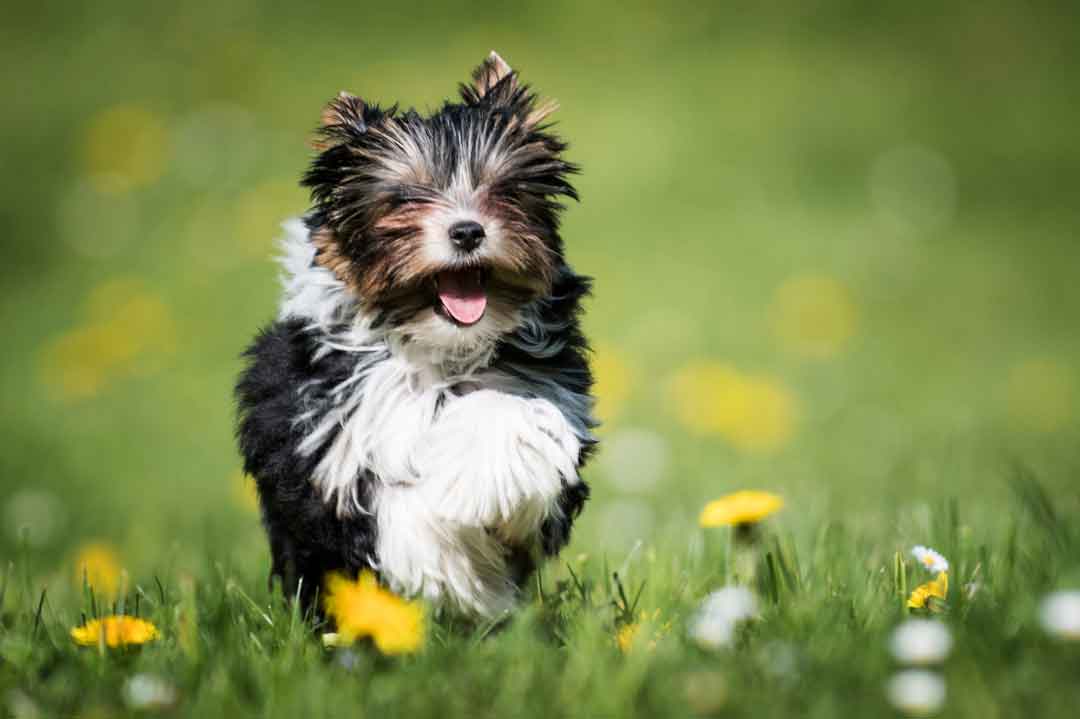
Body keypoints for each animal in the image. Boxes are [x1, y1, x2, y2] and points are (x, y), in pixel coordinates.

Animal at [234, 53, 600, 617]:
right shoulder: (325, 437)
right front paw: (446, 567)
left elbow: (509, 423)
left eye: (505, 189)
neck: (440, 350)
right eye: (403, 197)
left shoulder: (546, 386)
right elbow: (393, 511)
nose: (467, 230)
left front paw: (476, 483)